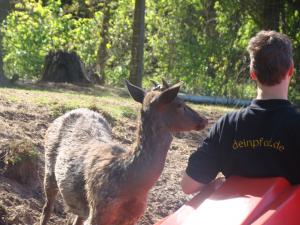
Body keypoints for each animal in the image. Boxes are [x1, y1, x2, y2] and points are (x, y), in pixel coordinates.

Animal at [39, 80, 209, 225]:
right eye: (180, 104)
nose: (204, 119)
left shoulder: (132, 216)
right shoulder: (99, 208)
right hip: (49, 166)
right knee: (47, 207)